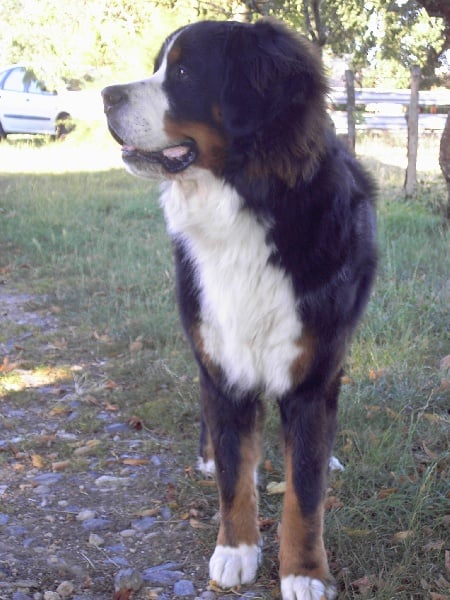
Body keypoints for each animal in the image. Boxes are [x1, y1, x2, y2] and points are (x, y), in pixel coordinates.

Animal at [102, 19, 377, 600]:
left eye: (184, 71)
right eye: (158, 65)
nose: (106, 95)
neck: (246, 209)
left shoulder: (311, 374)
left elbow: (304, 491)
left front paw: (304, 572)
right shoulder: (222, 360)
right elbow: (234, 474)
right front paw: (235, 551)